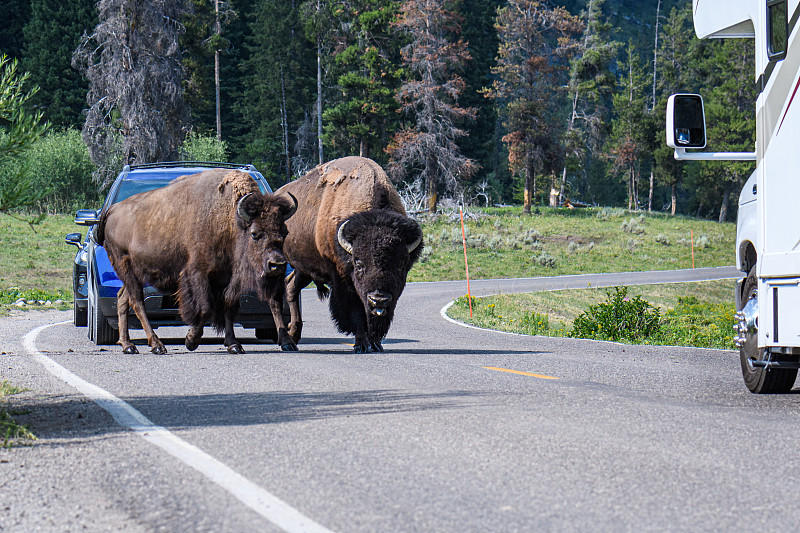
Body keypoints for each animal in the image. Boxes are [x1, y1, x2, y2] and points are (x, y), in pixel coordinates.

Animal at [97, 168, 296, 354]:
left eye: (285, 231)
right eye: (255, 233)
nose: (277, 265)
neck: (228, 219)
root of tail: (112, 210)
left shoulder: (228, 279)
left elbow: (229, 307)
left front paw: (233, 345)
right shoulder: (198, 273)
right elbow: (205, 307)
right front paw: (191, 341)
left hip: (134, 274)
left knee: (123, 298)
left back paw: (128, 345)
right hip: (125, 266)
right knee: (137, 301)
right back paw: (156, 345)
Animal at [276, 155, 424, 354]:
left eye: (401, 266)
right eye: (359, 263)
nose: (379, 299)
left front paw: (375, 343)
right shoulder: (343, 279)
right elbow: (356, 311)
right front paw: (361, 344)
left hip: (305, 269)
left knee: (291, 286)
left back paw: (294, 335)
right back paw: (289, 340)